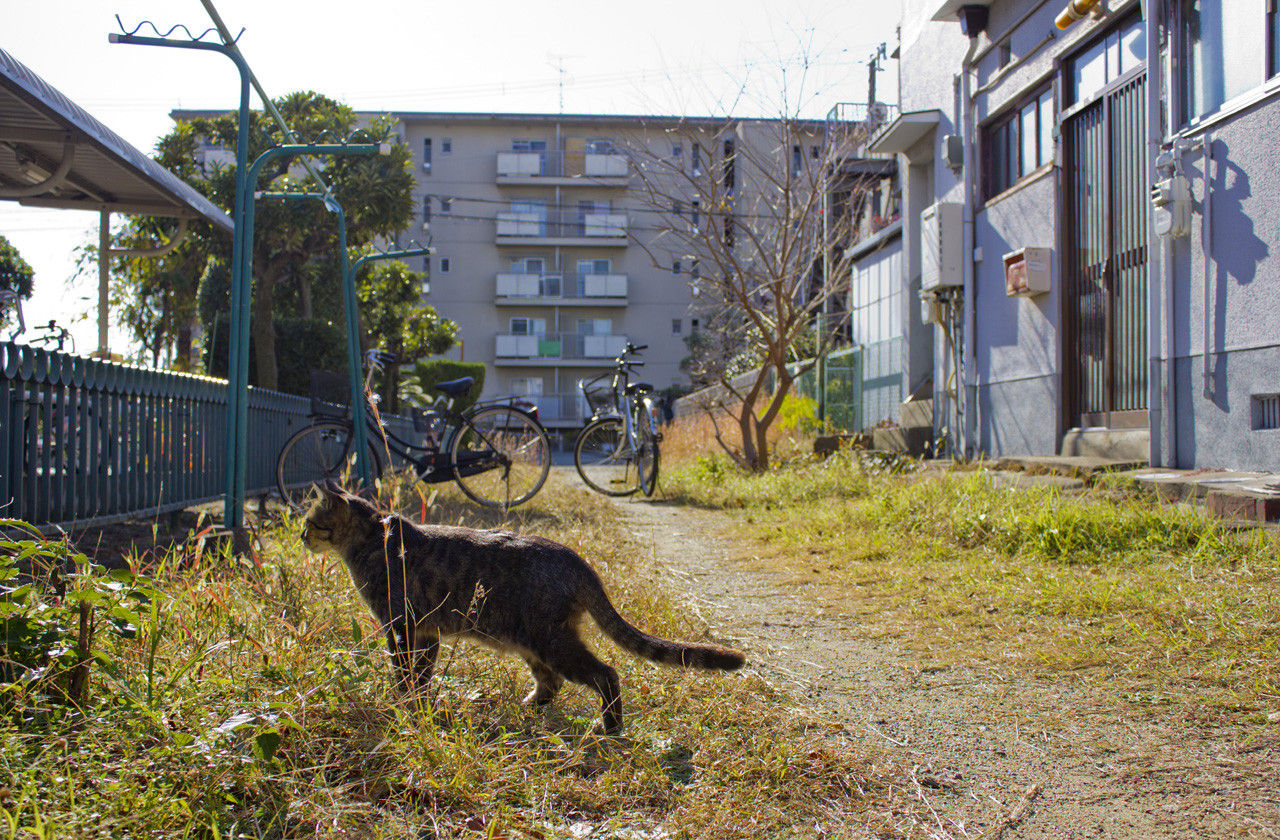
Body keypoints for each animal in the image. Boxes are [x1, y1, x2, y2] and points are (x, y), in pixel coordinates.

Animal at [300, 480, 744, 734]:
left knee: (605, 673)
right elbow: (420, 677)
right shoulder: (425, 632)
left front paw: (404, 704)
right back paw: (527, 708)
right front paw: (418, 706)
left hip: (550, 640)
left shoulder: (400, 627)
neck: (374, 537)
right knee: (553, 682)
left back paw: (609, 725)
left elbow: (404, 674)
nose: (301, 536)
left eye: (309, 522)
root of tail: (577, 559)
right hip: (529, 642)